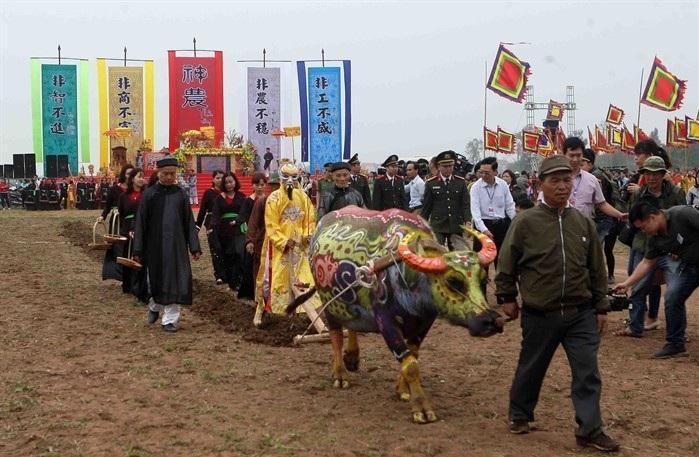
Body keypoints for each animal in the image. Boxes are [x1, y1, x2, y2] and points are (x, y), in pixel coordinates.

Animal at [288, 205, 506, 422]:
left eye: (483, 279)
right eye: (453, 281)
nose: (491, 321)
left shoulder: (424, 323)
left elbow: (413, 357)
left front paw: (403, 390)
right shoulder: (386, 322)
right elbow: (410, 365)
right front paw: (421, 407)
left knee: (352, 324)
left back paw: (352, 357)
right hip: (329, 303)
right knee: (336, 336)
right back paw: (340, 374)